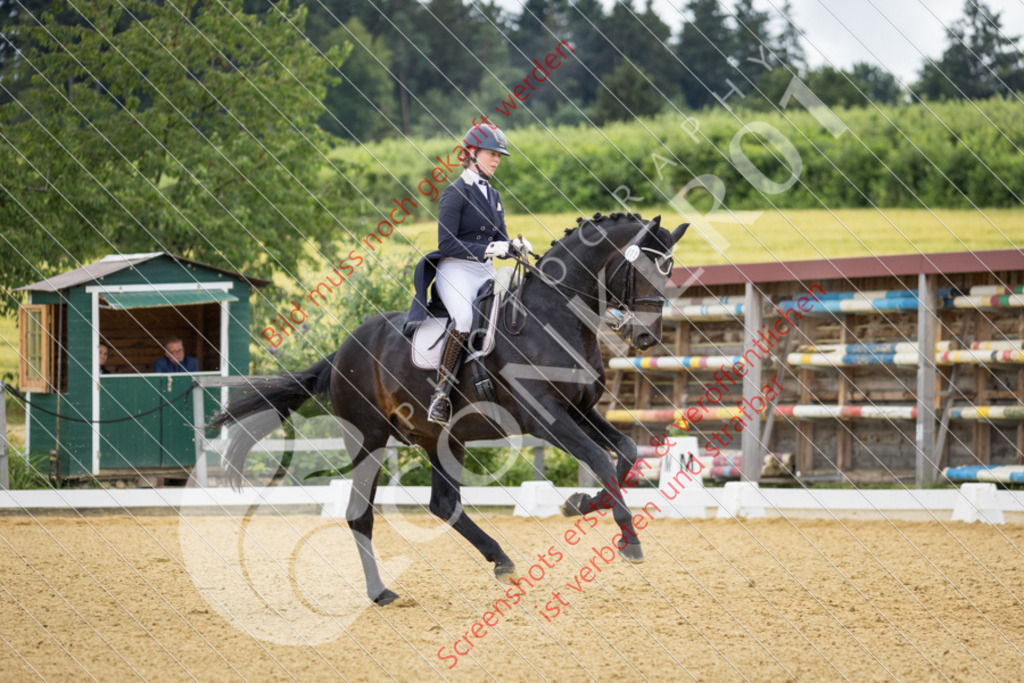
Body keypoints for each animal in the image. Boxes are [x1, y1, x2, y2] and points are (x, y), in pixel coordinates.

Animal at [207, 211, 688, 602]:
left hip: (442, 438)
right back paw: (381, 593)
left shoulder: (583, 411)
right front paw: (629, 538)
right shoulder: (548, 419)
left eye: (669, 270)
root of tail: (344, 350)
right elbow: (601, 460)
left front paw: (581, 503)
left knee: (444, 503)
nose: (646, 337)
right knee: (361, 514)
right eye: (641, 267)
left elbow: (625, 451)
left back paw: (501, 560)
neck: (553, 319)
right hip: (370, 440)